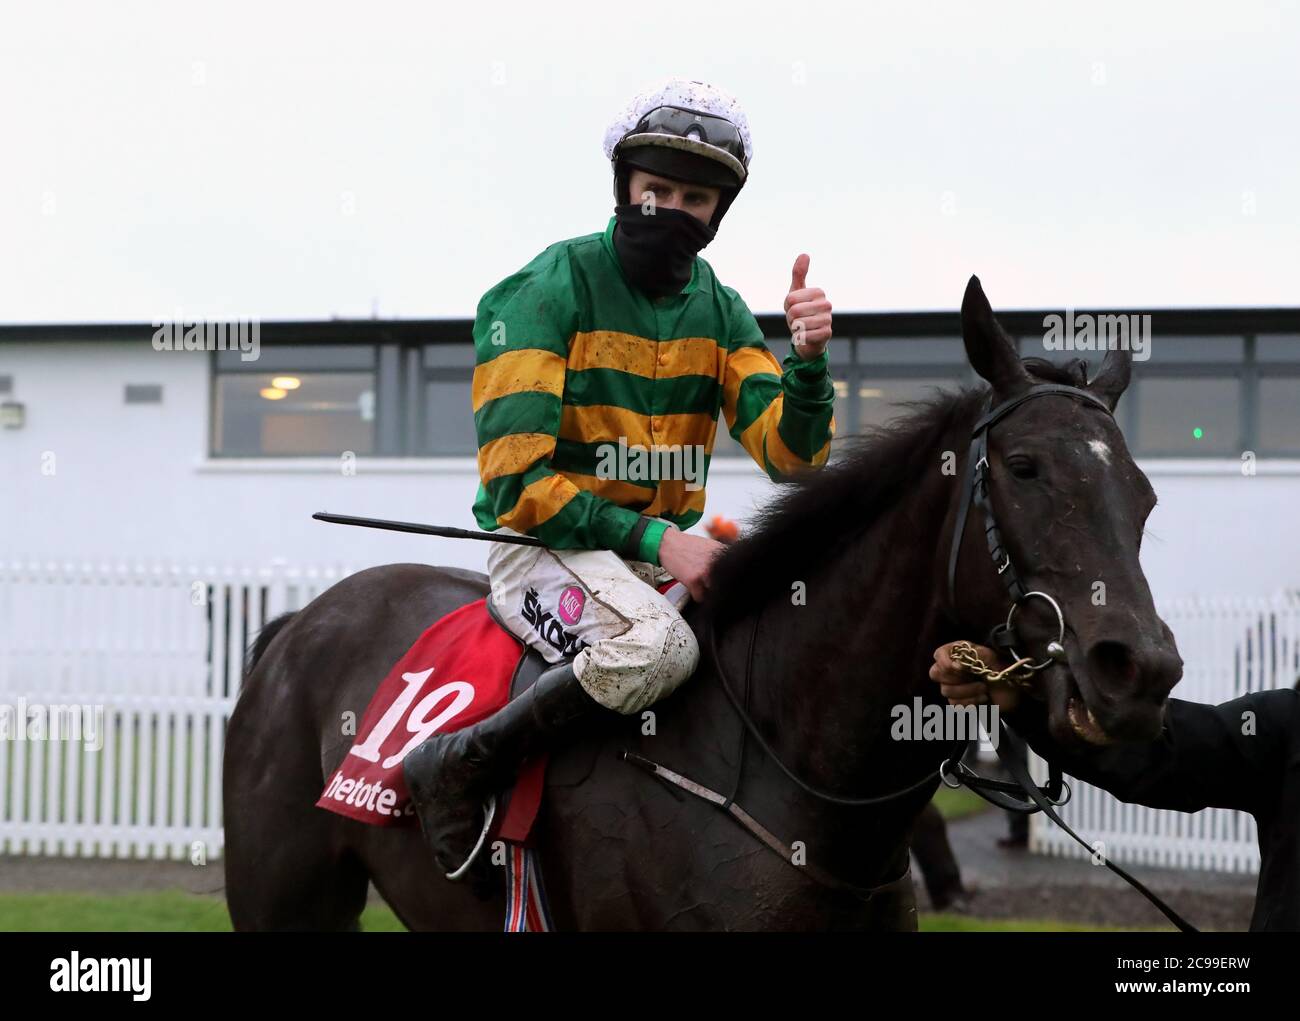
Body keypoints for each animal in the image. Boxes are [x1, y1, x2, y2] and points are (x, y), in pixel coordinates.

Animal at [226, 278, 1190, 931]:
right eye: (1024, 468)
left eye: (1144, 495)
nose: (1139, 669)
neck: (782, 770)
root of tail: (297, 624)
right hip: (285, 896)